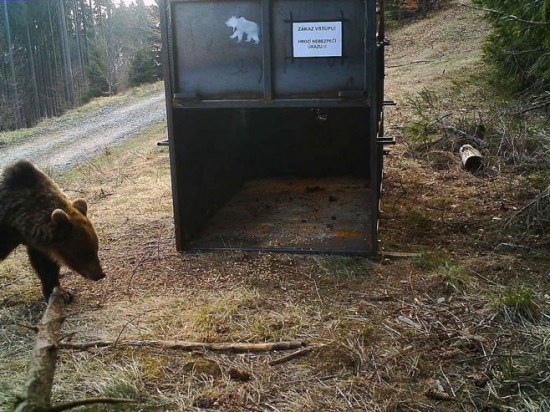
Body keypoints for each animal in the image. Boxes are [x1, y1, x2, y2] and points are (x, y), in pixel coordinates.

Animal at [0, 160, 105, 302]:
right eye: (88, 253)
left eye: (96, 249)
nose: (100, 274)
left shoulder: (36, 244)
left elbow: (46, 266)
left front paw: (61, 292)